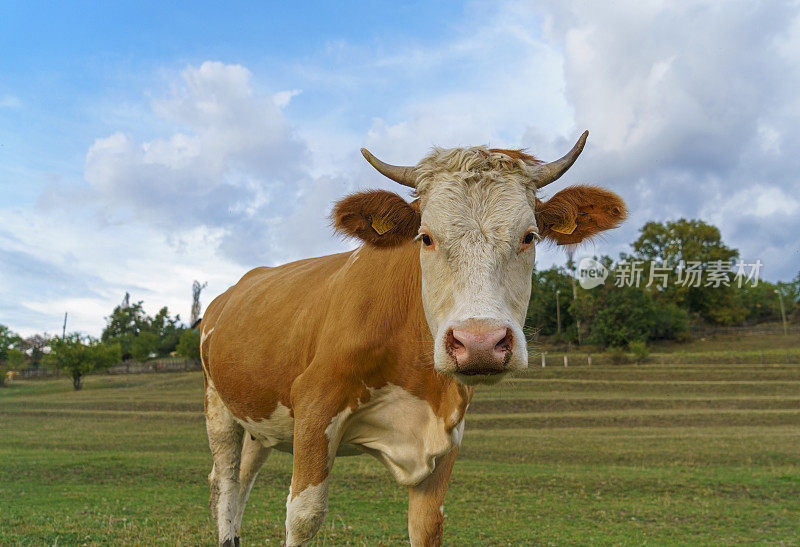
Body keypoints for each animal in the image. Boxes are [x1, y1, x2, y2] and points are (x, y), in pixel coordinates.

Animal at [198, 131, 624, 544]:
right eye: (426, 237)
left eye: (530, 236)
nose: (479, 343)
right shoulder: (314, 406)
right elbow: (303, 517)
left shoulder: (447, 433)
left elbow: (427, 526)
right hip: (219, 405)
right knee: (225, 480)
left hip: (258, 417)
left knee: (245, 476)